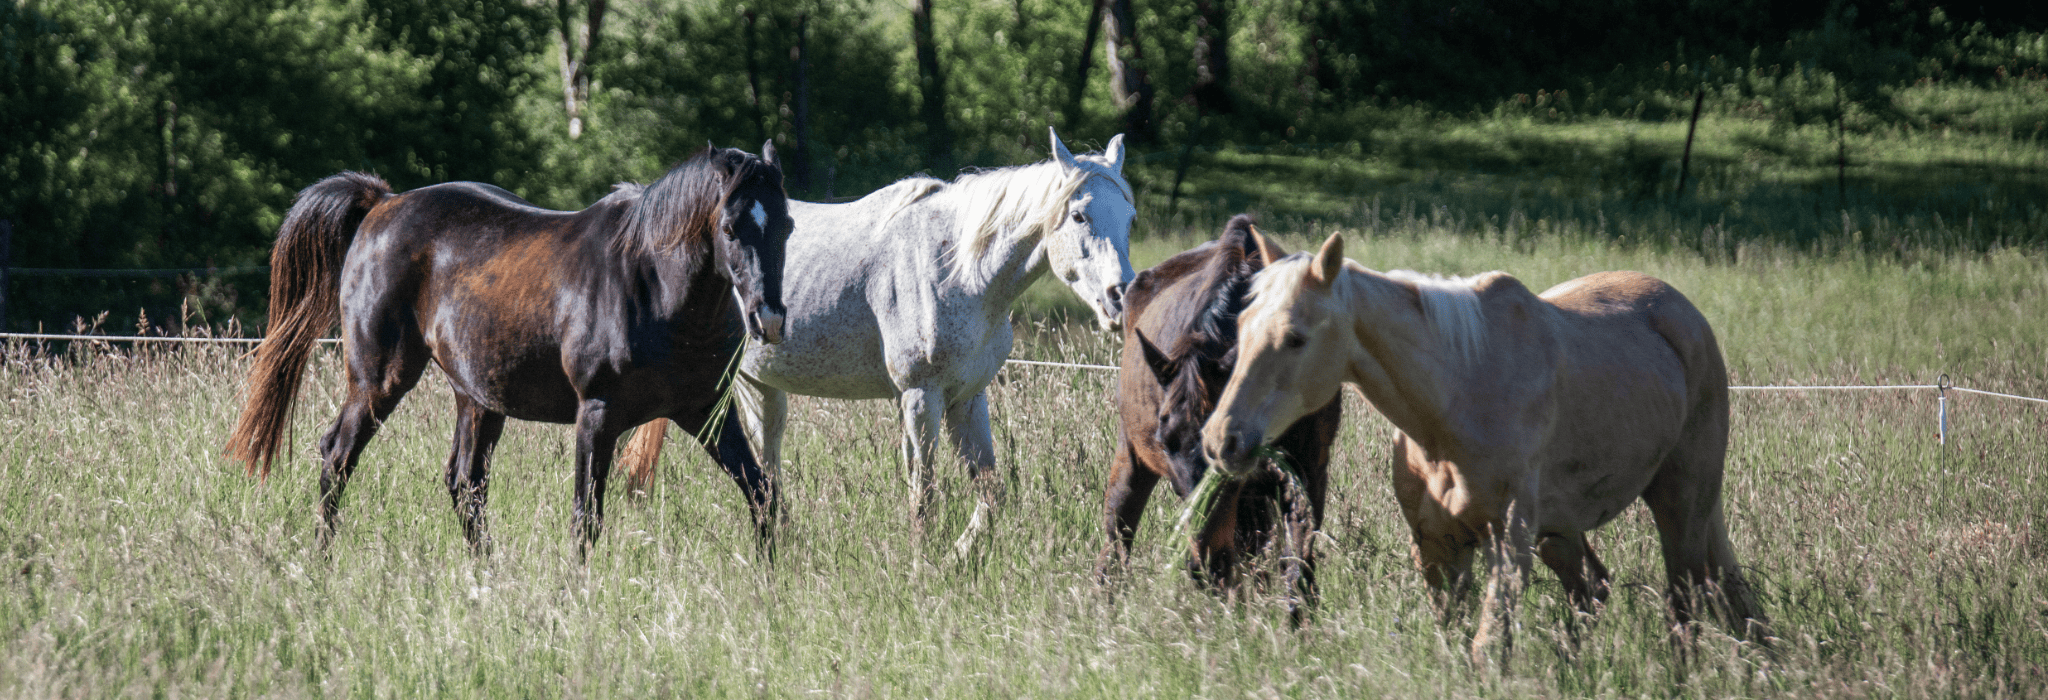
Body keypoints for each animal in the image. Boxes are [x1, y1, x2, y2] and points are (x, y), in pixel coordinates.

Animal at [223, 145, 794, 558]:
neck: (651, 285)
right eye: (729, 227)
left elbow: (763, 494)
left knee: (465, 483)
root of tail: (381, 203)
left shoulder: (706, 412)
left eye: (786, 226)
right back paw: (321, 559)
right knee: (338, 456)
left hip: (477, 398)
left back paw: (487, 574)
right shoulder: (597, 415)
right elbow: (586, 518)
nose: (768, 318)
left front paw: (773, 579)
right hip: (378, 381)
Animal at [616, 128, 1137, 555]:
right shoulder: (920, 398)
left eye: (1130, 218)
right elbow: (923, 497)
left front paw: (958, 556)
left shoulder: (967, 399)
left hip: (764, 390)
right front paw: (924, 569)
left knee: (767, 474)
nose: (1120, 297)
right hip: (741, 386)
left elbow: (992, 494)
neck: (959, 269)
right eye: (1079, 215)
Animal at [1098, 215, 1341, 620]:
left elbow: (1298, 571)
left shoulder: (1308, 472)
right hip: (1131, 458)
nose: (1202, 565)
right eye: (1166, 443)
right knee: (1117, 536)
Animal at [1202, 232, 1766, 663]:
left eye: (1296, 337)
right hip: (1561, 531)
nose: (1221, 440)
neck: (1458, 394)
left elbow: (1487, 649)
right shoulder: (1437, 547)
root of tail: (1686, 316)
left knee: (1686, 606)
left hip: (1681, 506)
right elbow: (1454, 640)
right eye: (1242, 326)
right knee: (1596, 589)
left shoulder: (1507, 542)